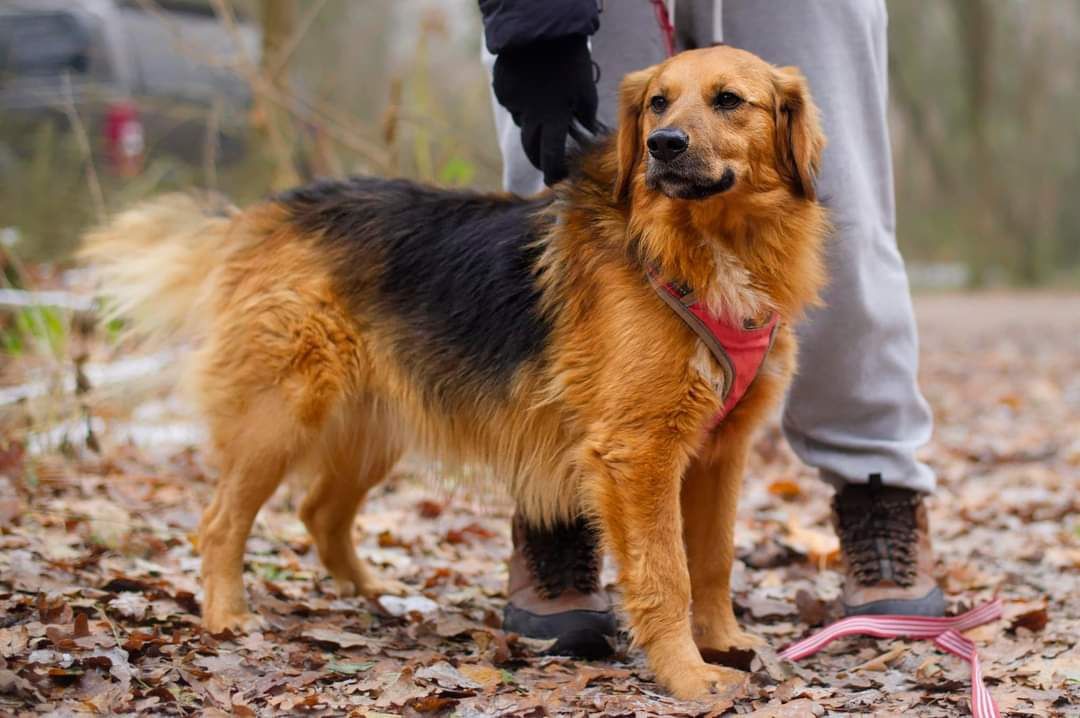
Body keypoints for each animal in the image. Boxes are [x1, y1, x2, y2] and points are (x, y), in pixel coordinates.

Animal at [84, 46, 825, 699]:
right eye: (657, 103)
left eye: (729, 101)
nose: (661, 145)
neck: (705, 247)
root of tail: (264, 215)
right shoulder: (637, 453)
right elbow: (667, 572)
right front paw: (688, 675)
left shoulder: (720, 452)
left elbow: (713, 559)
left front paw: (723, 642)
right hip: (282, 414)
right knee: (219, 523)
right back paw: (228, 617)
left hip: (372, 429)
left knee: (319, 510)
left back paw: (374, 595)